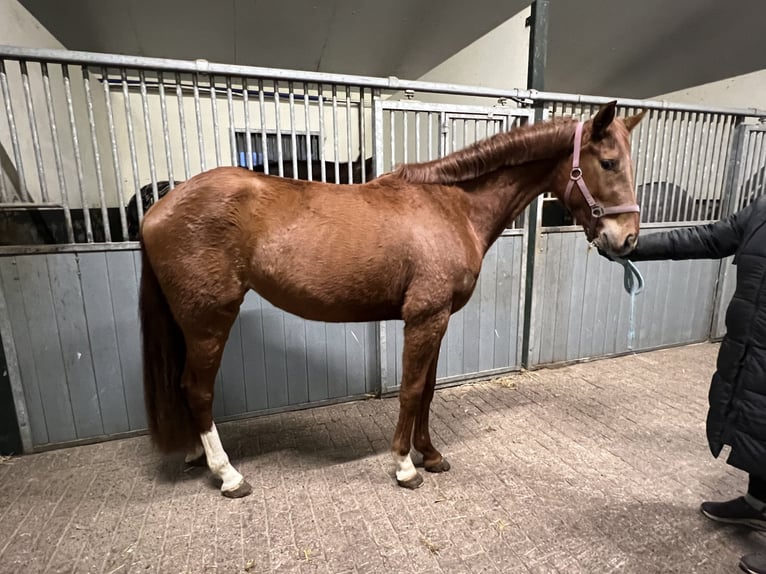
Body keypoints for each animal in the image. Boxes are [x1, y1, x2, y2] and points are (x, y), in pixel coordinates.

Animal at [140, 103, 648, 500]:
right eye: (608, 163)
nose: (626, 240)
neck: (452, 207)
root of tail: (158, 208)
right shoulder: (424, 317)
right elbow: (410, 389)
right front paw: (405, 467)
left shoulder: (439, 319)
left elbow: (427, 389)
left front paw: (432, 455)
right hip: (209, 321)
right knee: (197, 390)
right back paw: (228, 475)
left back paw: (197, 454)